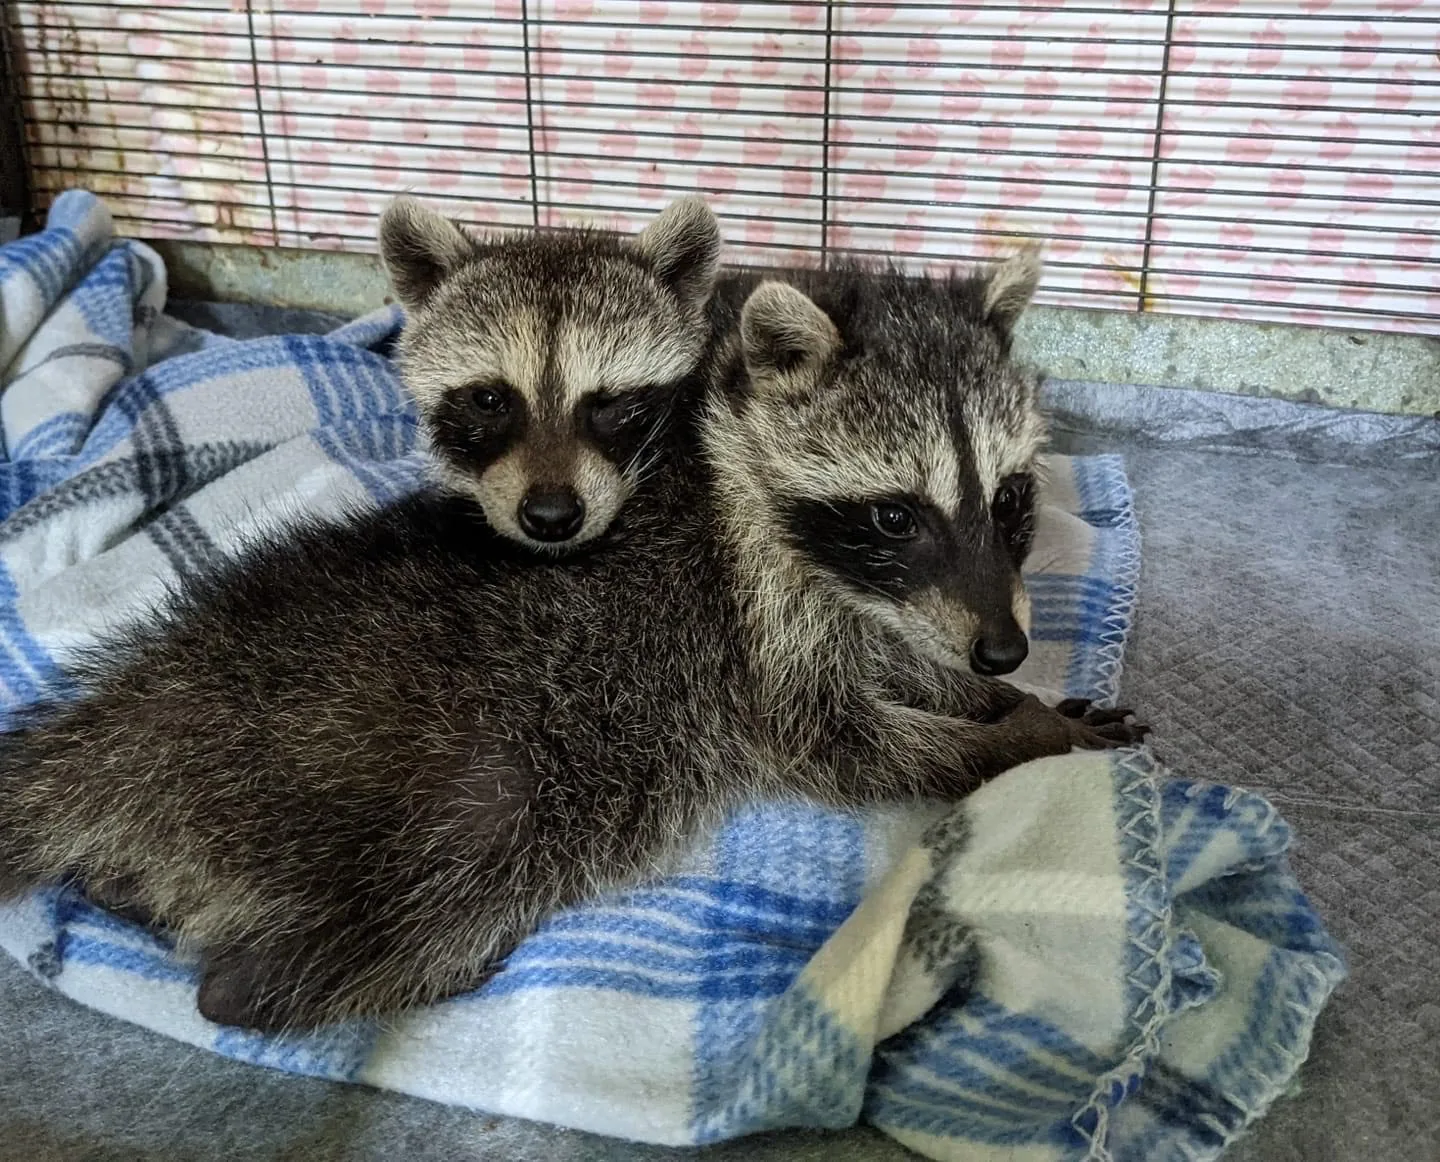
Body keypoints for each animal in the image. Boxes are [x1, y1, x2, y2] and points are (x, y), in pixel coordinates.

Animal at [0, 251, 1145, 1032]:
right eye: (897, 515)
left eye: (1011, 499)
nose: (1003, 650)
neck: (729, 446)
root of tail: (127, 721)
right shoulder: (751, 617)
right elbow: (834, 739)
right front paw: (1015, 736)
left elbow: (897, 660)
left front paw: (992, 698)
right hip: (437, 778)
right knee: (457, 865)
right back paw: (305, 979)